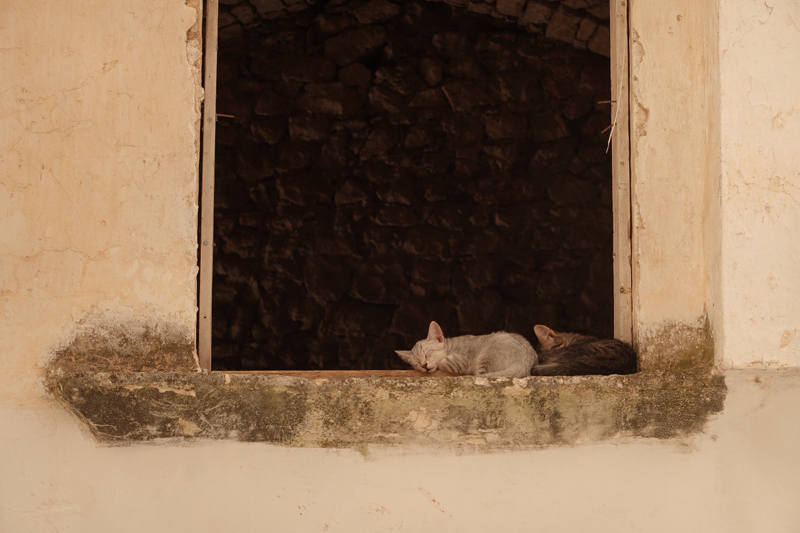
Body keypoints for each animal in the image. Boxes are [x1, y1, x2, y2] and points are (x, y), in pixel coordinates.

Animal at [394, 320, 536, 378]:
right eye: (416, 363)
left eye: (427, 353)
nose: (424, 365)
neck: (451, 347)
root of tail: (524, 363)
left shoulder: (464, 361)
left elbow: (442, 362)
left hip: (486, 354)